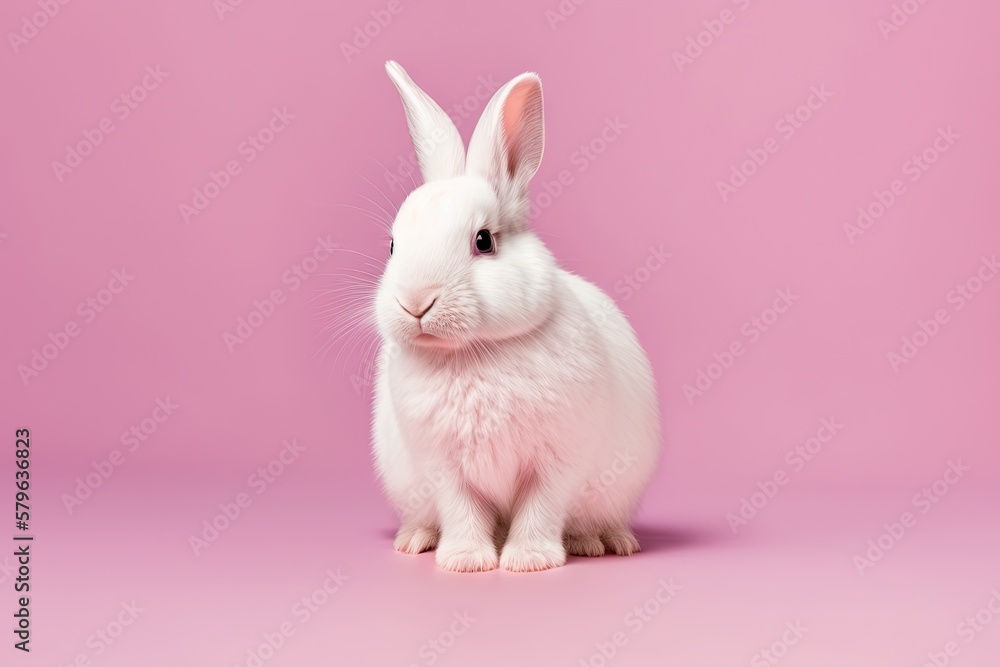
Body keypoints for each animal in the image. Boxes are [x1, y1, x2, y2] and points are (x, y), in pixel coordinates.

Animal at [372, 61, 660, 576]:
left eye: (483, 240)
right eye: (391, 246)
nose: (415, 302)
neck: (475, 352)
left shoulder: (557, 461)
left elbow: (539, 508)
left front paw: (529, 561)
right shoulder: (444, 467)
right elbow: (461, 510)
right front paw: (466, 561)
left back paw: (602, 543)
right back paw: (415, 540)